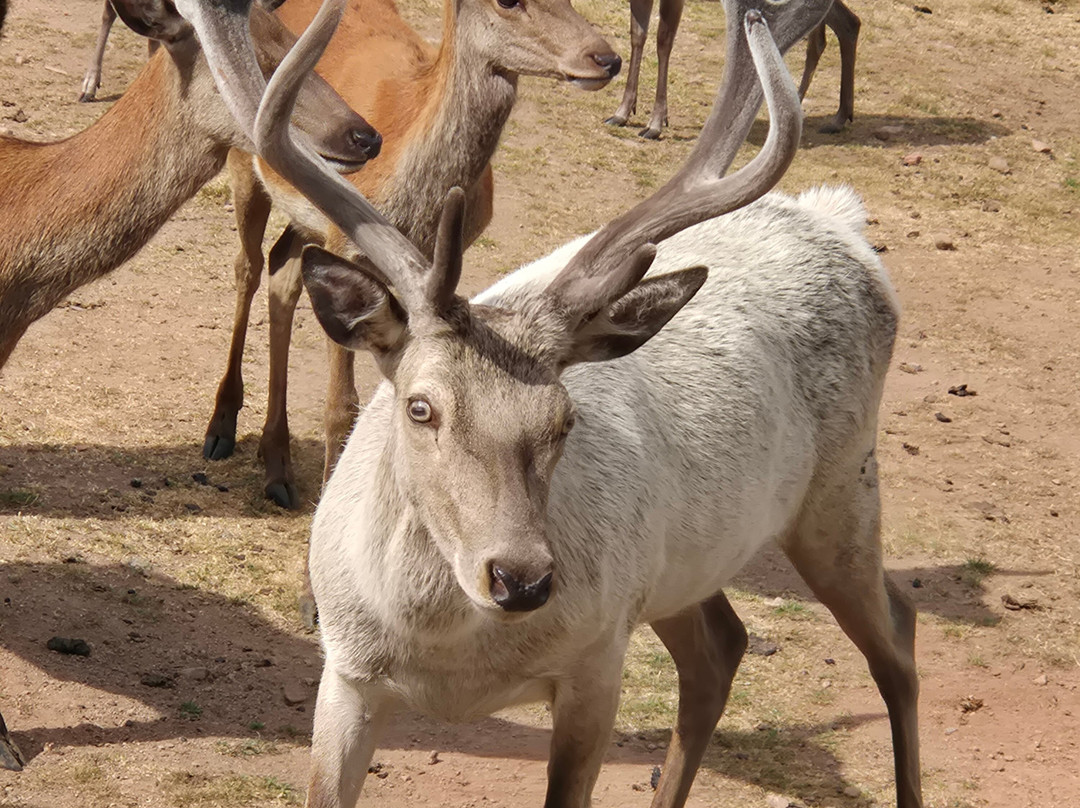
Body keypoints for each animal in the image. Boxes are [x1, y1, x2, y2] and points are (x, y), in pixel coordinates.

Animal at [198, 0, 621, 586]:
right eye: (507, 1)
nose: (605, 58)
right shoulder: (348, 245)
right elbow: (341, 407)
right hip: (245, 164)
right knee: (249, 266)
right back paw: (221, 429)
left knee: (283, 271)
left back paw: (277, 465)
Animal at [605, 0, 860, 138]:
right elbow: (637, 36)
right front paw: (622, 112)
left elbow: (663, 42)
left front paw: (655, 124)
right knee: (845, 24)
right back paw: (834, 115)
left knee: (843, 25)